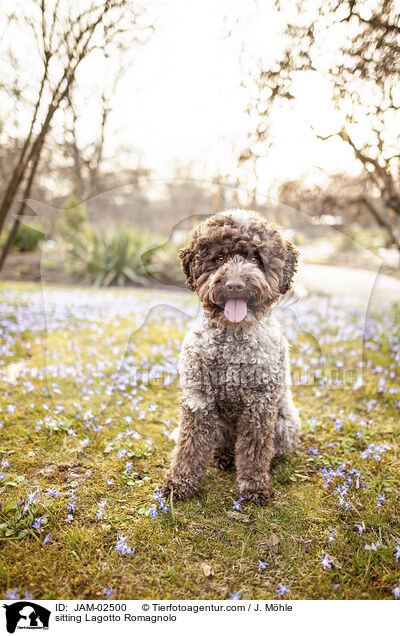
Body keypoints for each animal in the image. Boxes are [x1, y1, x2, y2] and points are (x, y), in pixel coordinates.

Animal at [162, 211, 300, 504]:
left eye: (256, 259)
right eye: (219, 258)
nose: (235, 285)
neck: (232, 343)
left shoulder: (260, 405)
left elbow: (255, 450)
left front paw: (254, 485)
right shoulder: (198, 400)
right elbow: (189, 447)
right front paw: (181, 482)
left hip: (285, 424)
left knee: (267, 448)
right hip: (218, 427)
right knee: (221, 444)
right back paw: (224, 455)